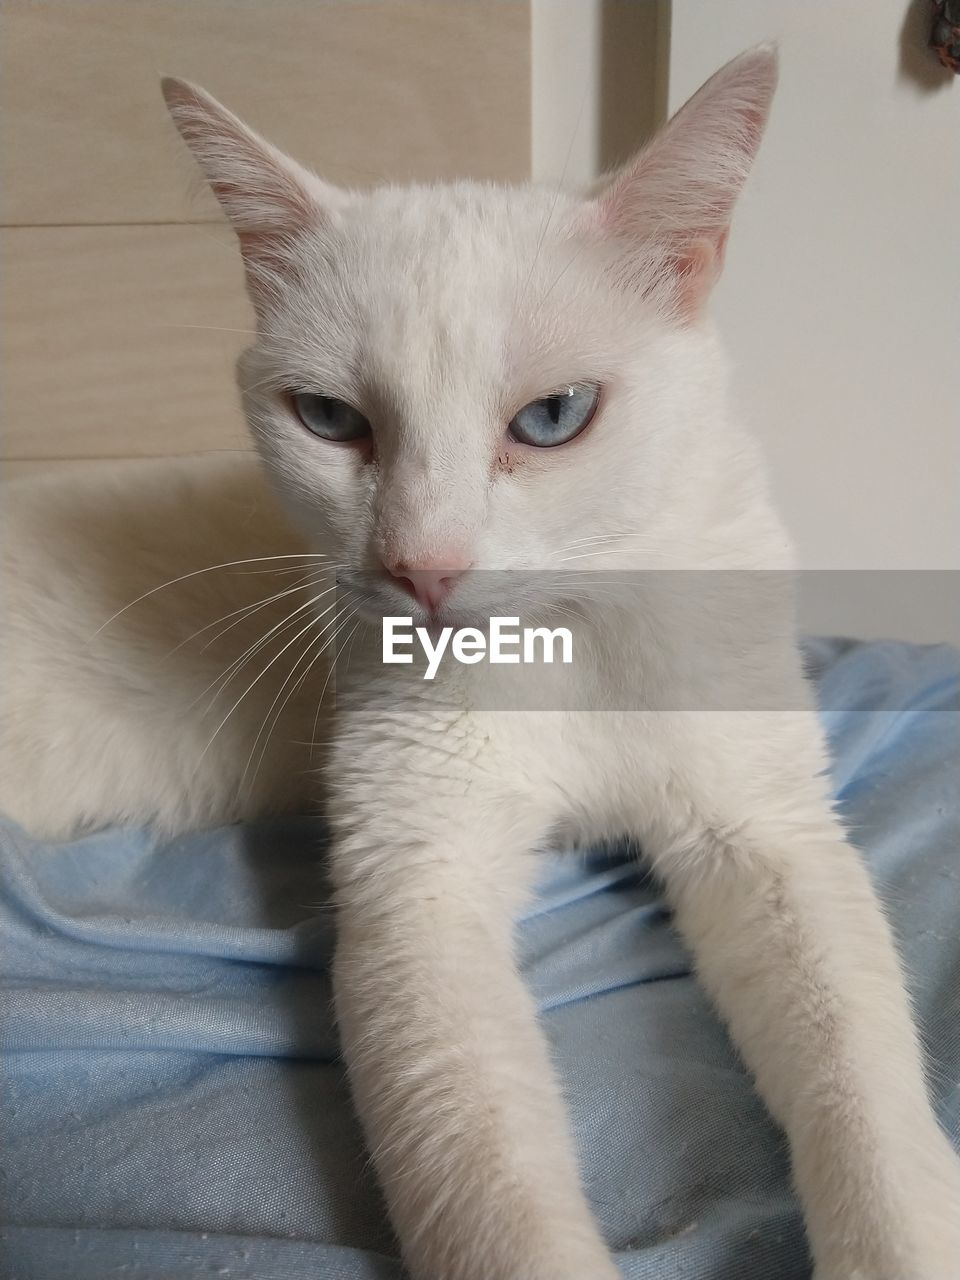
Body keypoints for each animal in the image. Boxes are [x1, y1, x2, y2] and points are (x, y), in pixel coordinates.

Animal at [1, 47, 960, 1280]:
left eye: (554, 417)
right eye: (329, 418)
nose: (423, 568)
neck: (561, 639)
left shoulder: (769, 834)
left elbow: (863, 1088)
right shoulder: (420, 895)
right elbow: (493, 1192)